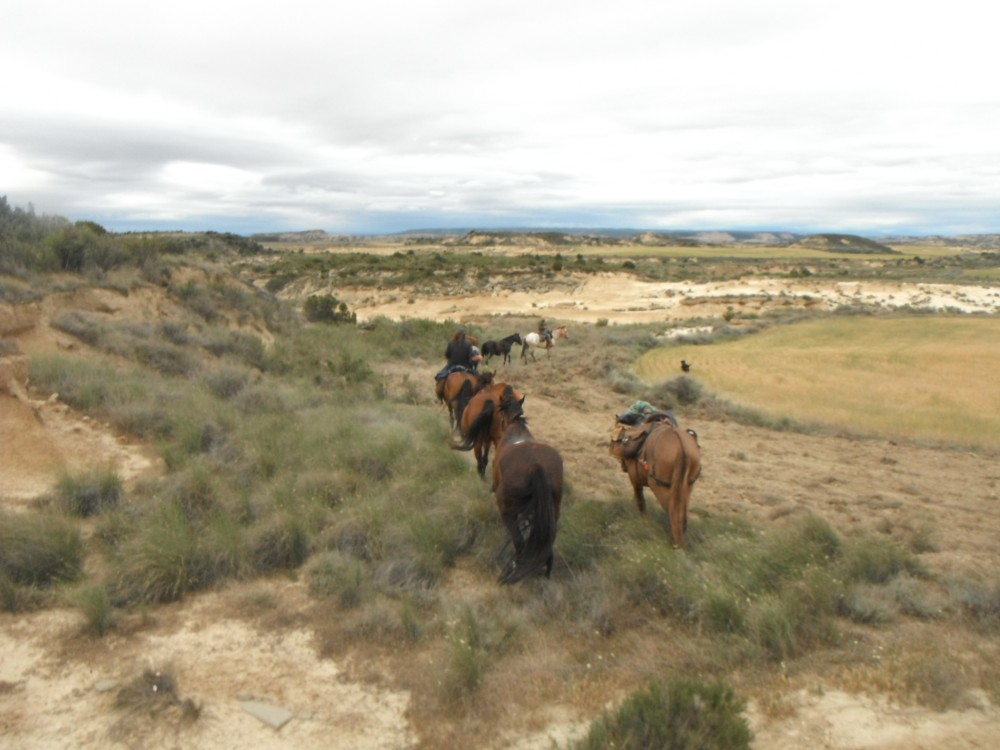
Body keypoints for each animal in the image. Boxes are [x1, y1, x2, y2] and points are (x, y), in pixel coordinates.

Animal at [492, 388, 564, 588]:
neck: (515, 429)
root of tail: (535, 465)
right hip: (553, 511)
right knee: (546, 541)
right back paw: (545, 570)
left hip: (507, 511)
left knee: (519, 541)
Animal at [608, 420, 704, 548]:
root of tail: (682, 447)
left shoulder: (635, 478)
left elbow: (640, 500)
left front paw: (642, 520)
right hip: (687, 486)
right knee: (682, 513)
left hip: (659, 486)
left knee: (672, 512)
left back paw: (676, 542)